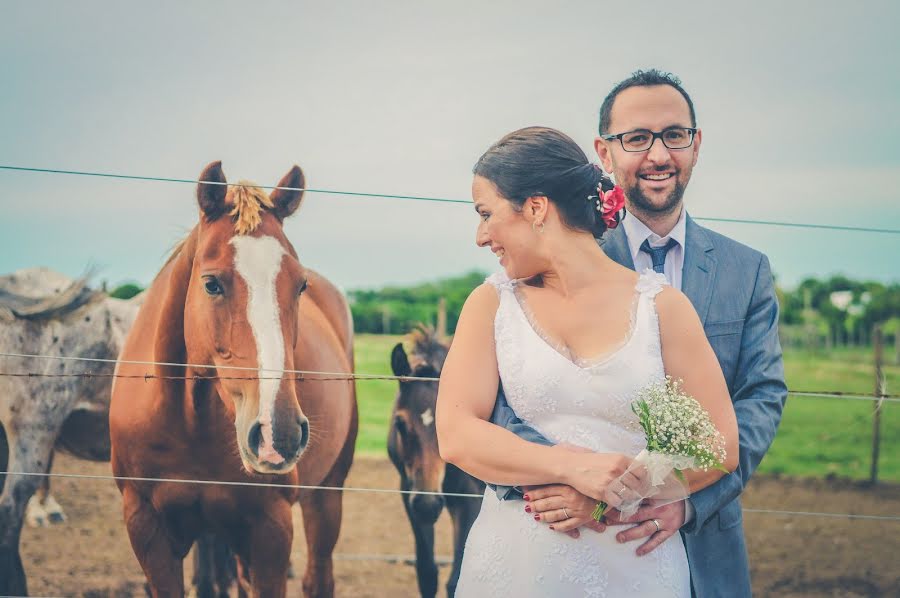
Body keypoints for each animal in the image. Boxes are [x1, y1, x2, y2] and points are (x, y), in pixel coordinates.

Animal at [109, 162, 356, 596]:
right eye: (211, 283)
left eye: (300, 285)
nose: (279, 434)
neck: (188, 424)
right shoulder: (147, 528)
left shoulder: (271, 529)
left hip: (327, 494)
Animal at [386, 328, 486, 598]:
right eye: (400, 423)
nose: (428, 504)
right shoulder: (408, 493)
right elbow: (427, 573)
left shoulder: (469, 498)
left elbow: (455, 580)